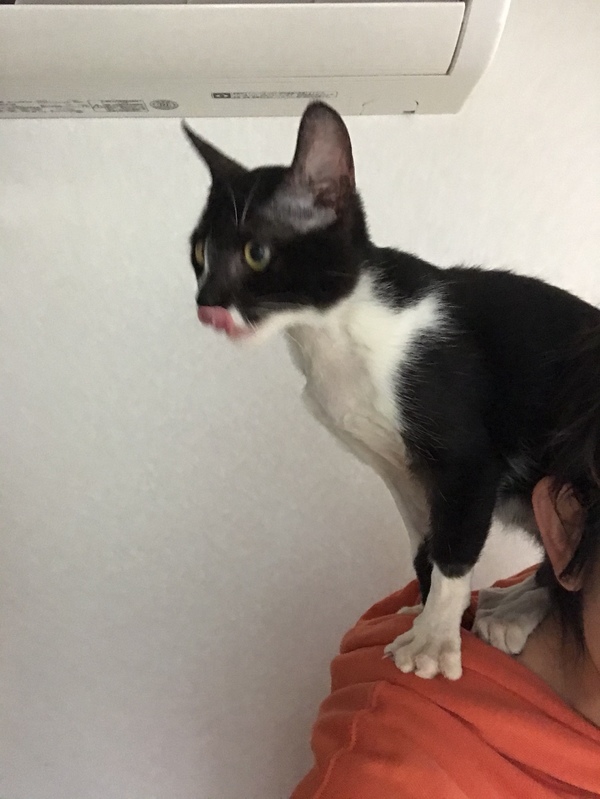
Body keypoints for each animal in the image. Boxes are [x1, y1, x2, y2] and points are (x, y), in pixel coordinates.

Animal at [182, 102, 599, 680]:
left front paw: (434, 640)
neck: (333, 332)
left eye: (256, 253)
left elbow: (454, 544)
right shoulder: (398, 470)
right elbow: (424, 541)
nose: (206, 302)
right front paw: (424, 612)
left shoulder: (467, 460)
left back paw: (514, 611)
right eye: (199, 251)